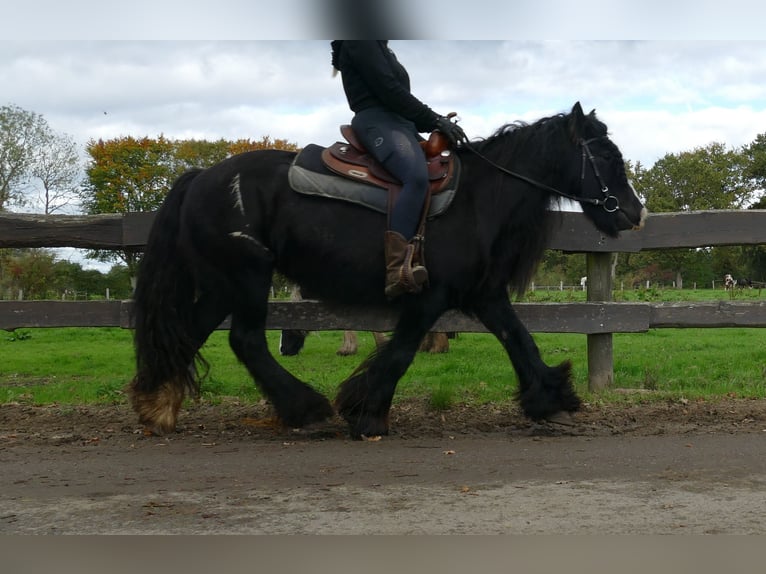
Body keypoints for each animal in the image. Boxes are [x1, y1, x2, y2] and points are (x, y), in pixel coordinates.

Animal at [129, 102, 647, 439]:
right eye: (606, 156)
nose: (633, 213)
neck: (479, 198)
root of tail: (200, 177)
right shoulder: (430, 297)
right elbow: (400, 352)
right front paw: (364, 410)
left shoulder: (483, 294)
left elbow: (519, 339)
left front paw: (551, 400)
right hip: (247, 278)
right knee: (246, 340)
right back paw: (306, 408)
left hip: (224, 284)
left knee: (191, 332)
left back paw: (158, 406)